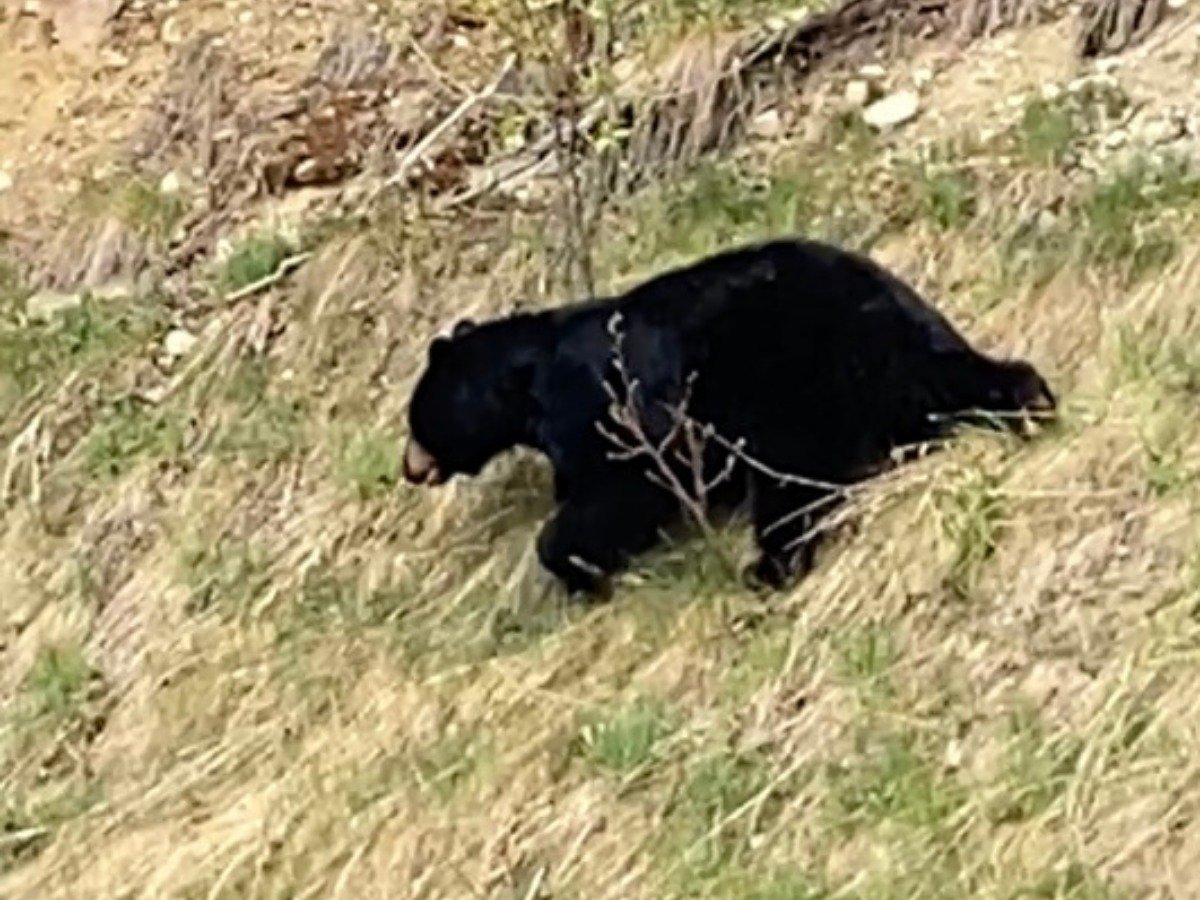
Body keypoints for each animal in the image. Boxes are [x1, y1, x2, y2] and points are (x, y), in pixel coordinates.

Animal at [402, 237, 1056, 598]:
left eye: (415, 422)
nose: (409, 469)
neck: (528, 387)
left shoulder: (604, 411)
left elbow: (623, 489)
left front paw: (578, 566)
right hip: (905, 347)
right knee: (957, 379)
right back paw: (1030, 403)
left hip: (787, 389)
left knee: (792, 485)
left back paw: (770, 568)